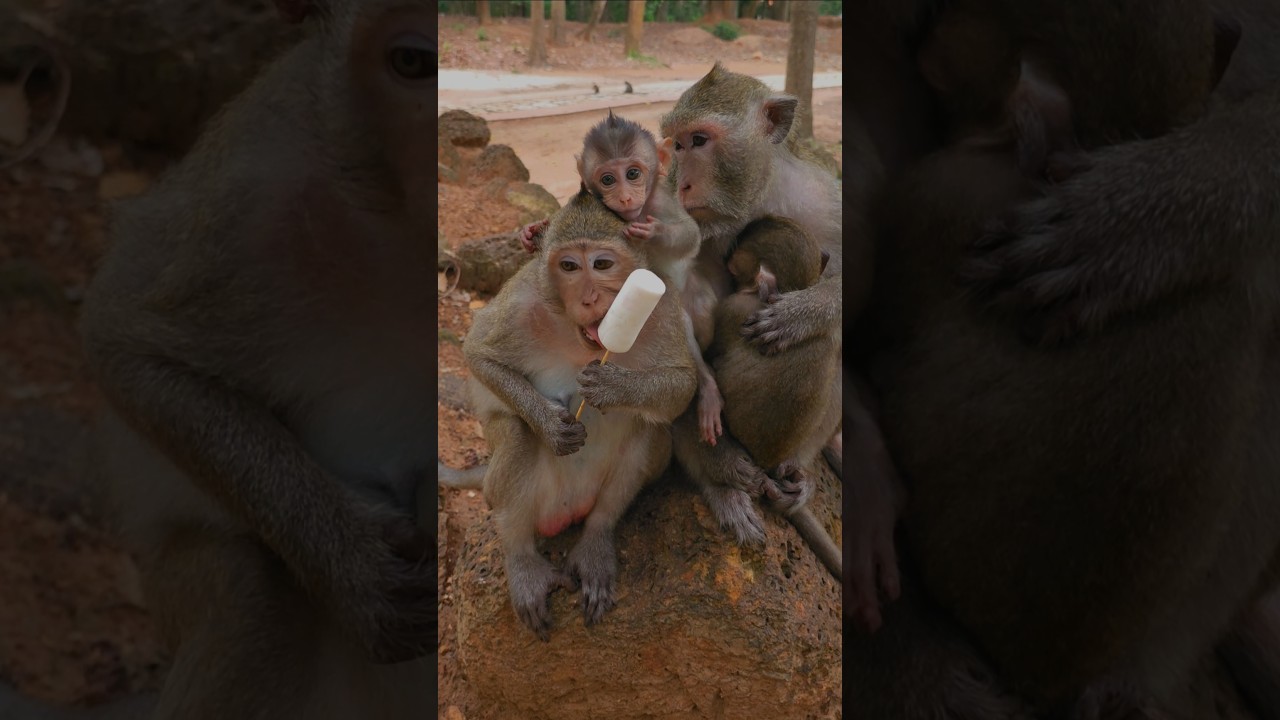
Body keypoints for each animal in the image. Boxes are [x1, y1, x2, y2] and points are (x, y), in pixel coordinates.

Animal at [463, 188, 697, 640]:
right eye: (569, 266)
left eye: (602, 264)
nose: (589, 298)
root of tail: (566, 510)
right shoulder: (520, 303)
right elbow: (479, 355)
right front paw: (552, 425)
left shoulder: (662, 309)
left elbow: (682, 387)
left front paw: (612, 386)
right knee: (515, 436)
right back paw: (521, 558)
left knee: (647, 429)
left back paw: (595, 540)